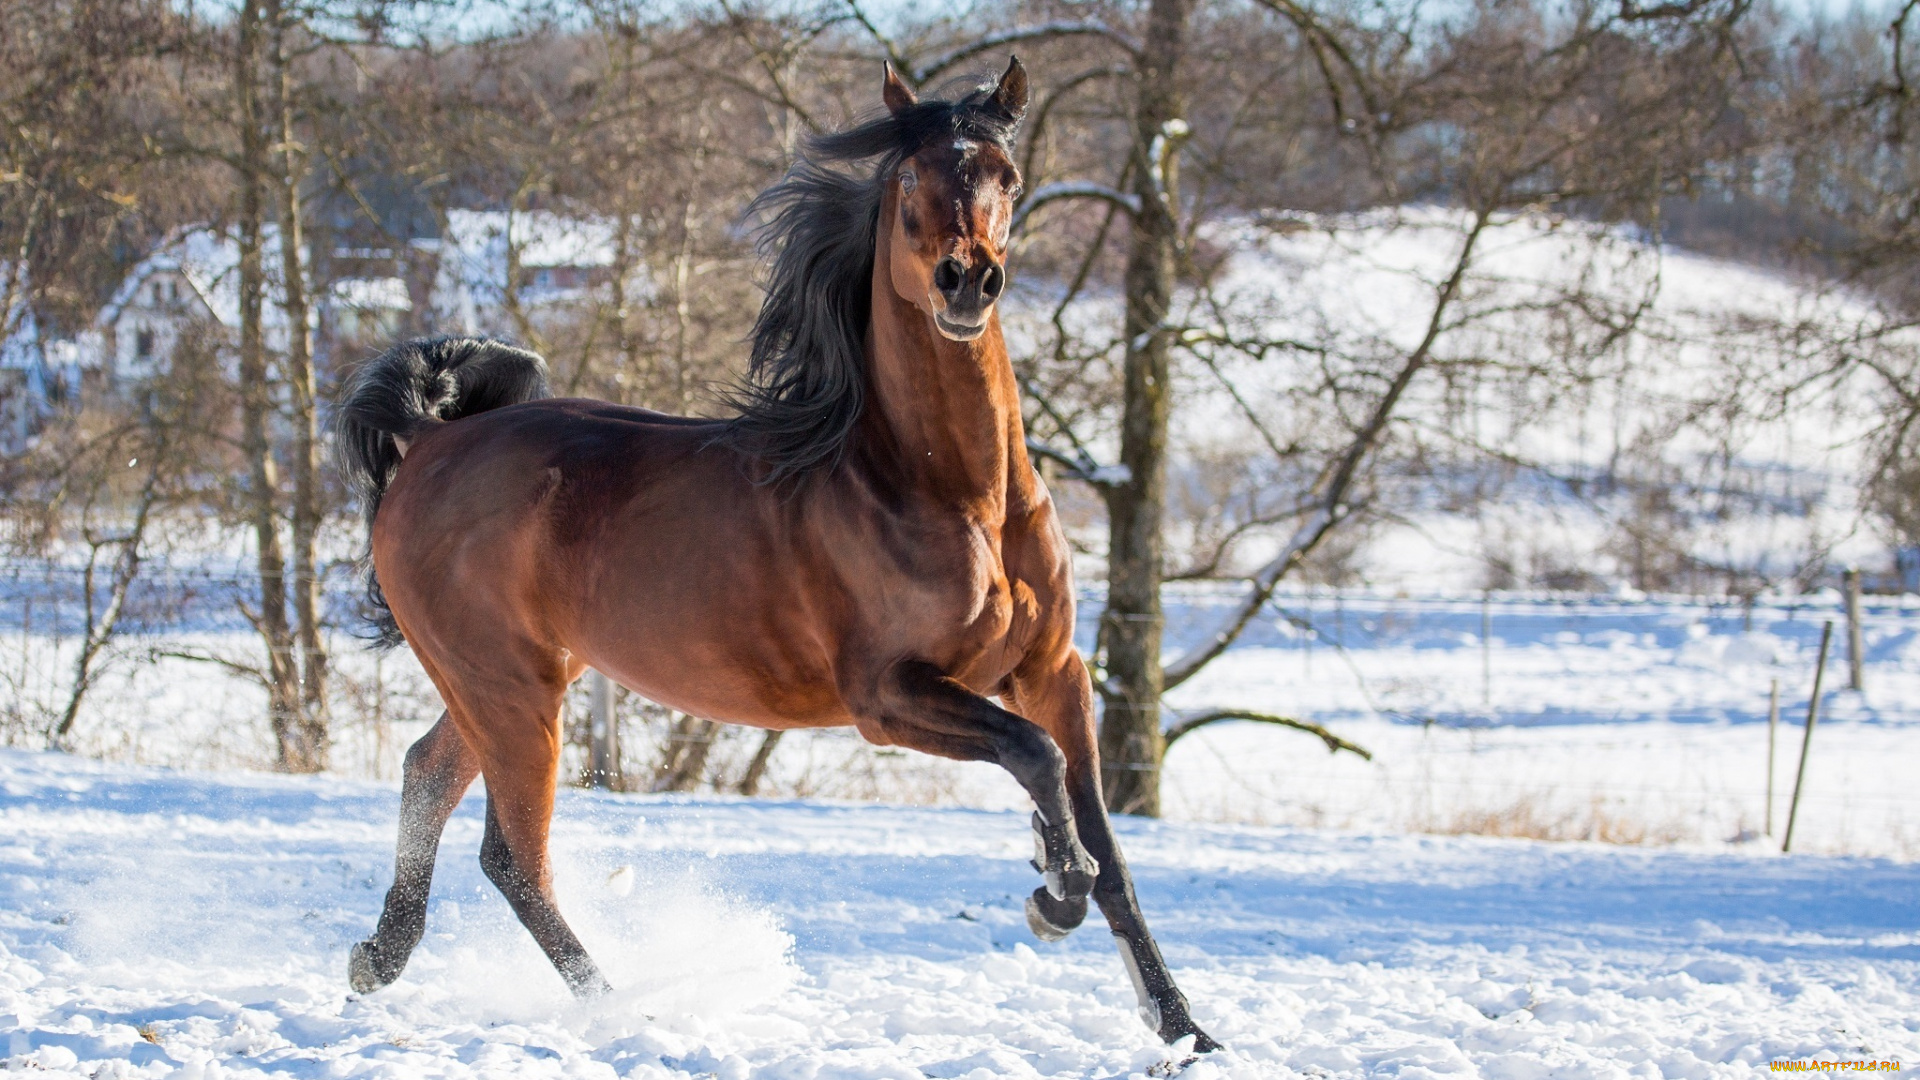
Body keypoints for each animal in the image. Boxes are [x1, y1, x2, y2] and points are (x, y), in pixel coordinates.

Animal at [334, 58, 1213, 1053]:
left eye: (1008, 178)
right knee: (513, 856)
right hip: (509, 693)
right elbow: (1036, 763)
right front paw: (1051, 893)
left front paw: (1184, 1027)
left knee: (427, 778)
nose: (966, 283)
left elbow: (1109, 850)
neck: (952, 491)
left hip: (514, 681)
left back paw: (376, 960)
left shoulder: (1053, 672)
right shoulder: (888, 696)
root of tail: (430, 440)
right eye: (910, 179)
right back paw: (625, 1006)